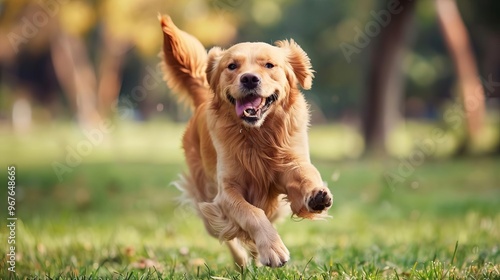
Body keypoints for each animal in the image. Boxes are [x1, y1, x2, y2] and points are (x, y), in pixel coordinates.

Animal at [158, 14, 334, 266]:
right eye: (232, 66)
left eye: (269, 65)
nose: (250, 78)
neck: (258, 137)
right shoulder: (226, 192)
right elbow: (252, 213)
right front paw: (272, 249)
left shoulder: (290, 163)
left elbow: (306, 174)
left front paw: (316, 195)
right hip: (205, 199)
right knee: (225, 233)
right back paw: (243, 260)